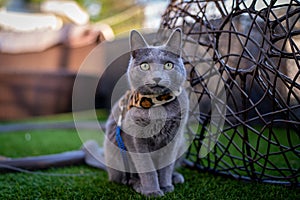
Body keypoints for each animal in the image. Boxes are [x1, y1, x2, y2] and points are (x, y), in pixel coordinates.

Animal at [103, 28, 188, 198]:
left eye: (168, 65)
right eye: (144, 66)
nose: (157, 78)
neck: (158, 103)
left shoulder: (175, 138)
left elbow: (166, 166)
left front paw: (166, 185)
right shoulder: (135, 139)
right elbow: (146, 168)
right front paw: (152, 191)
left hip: (183, 142)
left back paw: (176, 177)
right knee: (124, 179)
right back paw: (137, 185)